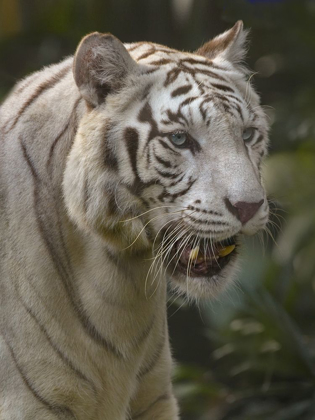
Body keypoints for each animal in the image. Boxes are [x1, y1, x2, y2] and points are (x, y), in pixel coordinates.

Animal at [0, 20, 270, 420]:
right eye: (180, 139)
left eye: (248, 134)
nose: (249, 206)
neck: (122, 281)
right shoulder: (32, 404)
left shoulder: (154, 397)